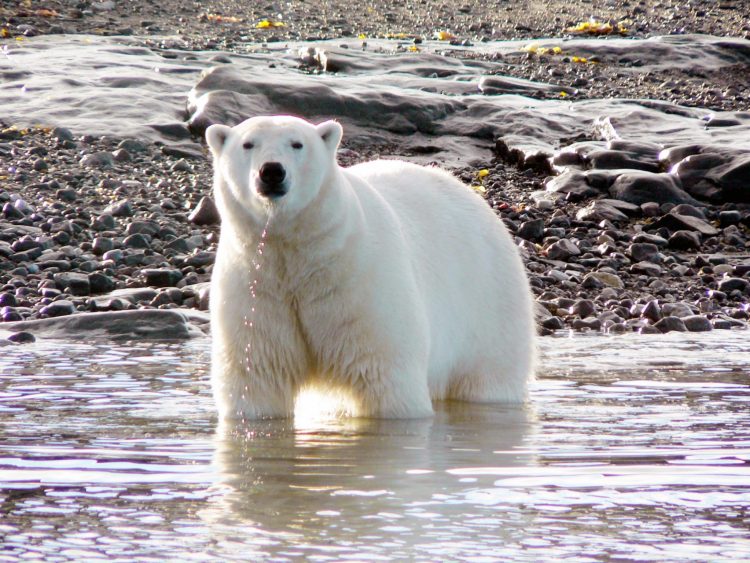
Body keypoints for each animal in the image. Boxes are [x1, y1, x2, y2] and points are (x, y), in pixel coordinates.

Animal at [204, 117, 536, 420]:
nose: (272, 171)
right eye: (248, 144)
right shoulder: (257, 285)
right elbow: (257, 376)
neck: (299, 253)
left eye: (297, 144)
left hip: (489, 305)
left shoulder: (359, 281)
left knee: (489, 376)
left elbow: (384, 375)